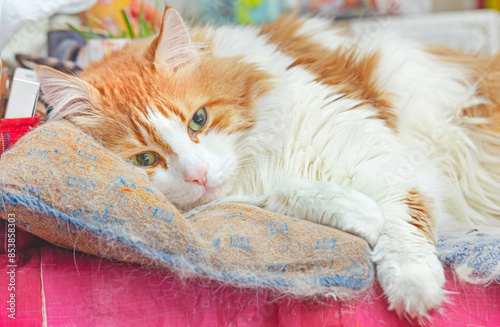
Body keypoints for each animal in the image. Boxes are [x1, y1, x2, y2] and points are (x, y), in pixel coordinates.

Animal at [36, 6, 500, 322]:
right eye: (146, 159)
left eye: (198, 119)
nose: (199, 175)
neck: (260, 160)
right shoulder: (256, 194)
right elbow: (293, 195)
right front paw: (360, 215)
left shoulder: (383, 160)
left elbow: (403, 228)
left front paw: (414, 287)